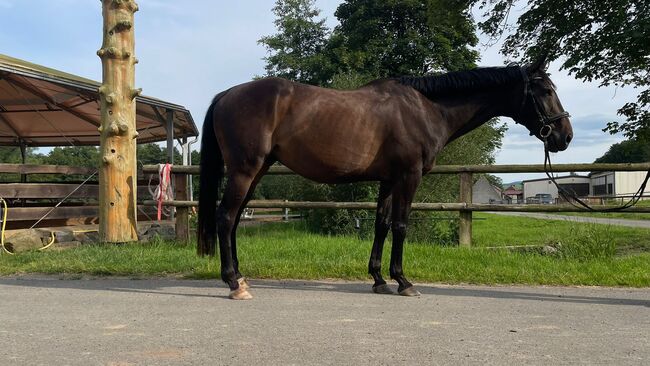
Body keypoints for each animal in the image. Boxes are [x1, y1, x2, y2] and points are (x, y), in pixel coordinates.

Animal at [195, 58, 568, 300]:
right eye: (546, 91)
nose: (564, 135)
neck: (426, 108)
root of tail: (226, 94)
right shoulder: (409, 176)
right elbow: (401, 225)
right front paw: (403, 281)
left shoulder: (389, 181)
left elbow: (382, 225)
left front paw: (378, 278)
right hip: (245, 170)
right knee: (225, 217)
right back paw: (233, 283)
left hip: (256, 171)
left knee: (234, 219)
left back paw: (241, 276)